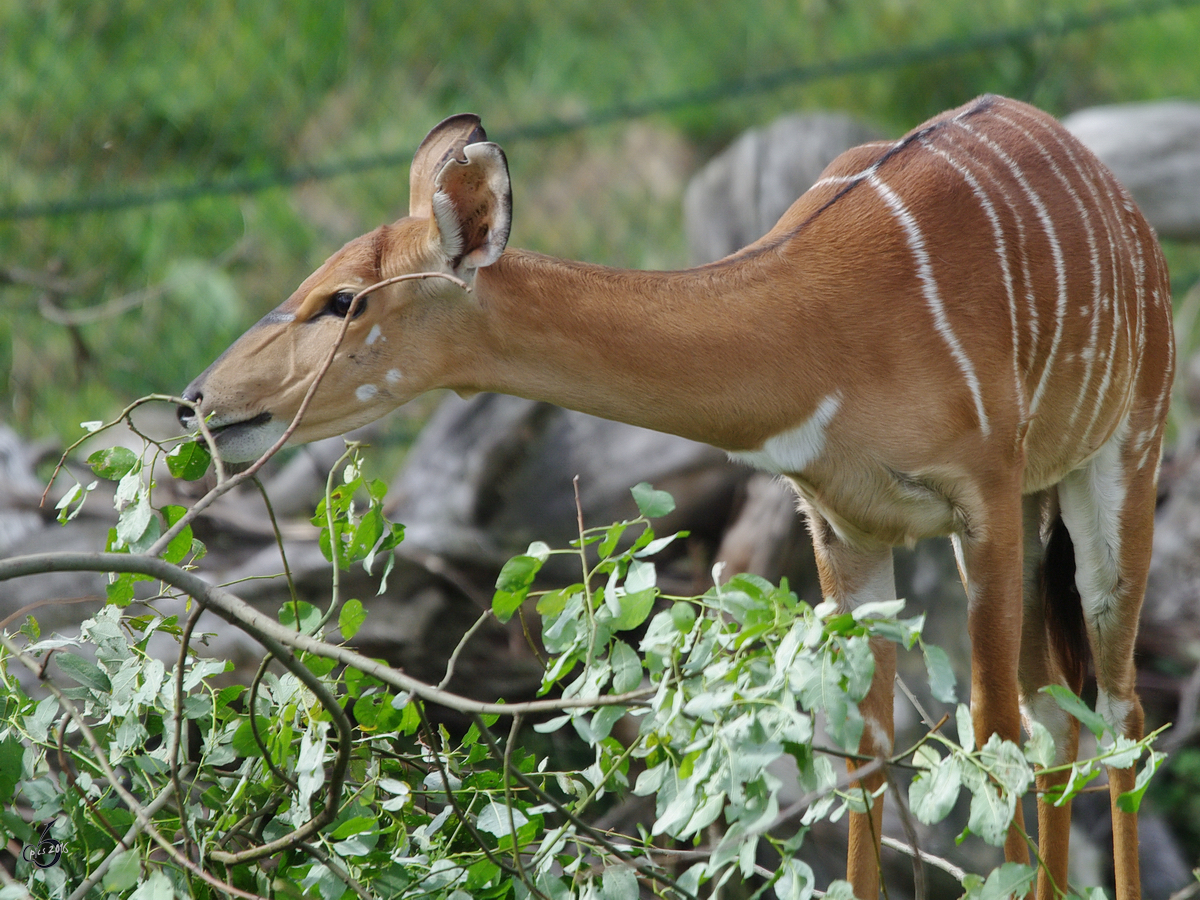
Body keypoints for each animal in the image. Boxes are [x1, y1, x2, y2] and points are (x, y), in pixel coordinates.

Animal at [180, 95, 1171, 897]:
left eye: (343, 299)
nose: (199, 401)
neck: (819, 325)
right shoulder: (844, 528)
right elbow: (862, 754)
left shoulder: (983, 500)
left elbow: (992, 739)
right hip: (1038, 511)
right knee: (1062, 716)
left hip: (1117, 467)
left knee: (1114, 710)